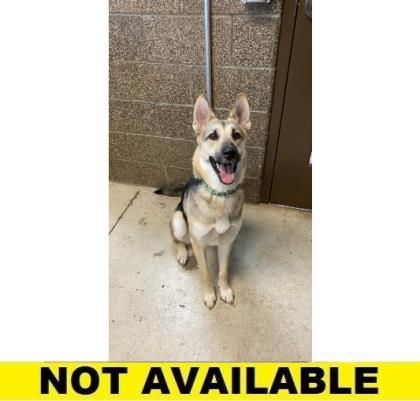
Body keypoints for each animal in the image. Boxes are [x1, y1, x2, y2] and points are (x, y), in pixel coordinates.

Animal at [158, 94, 251, 310]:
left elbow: (222, 271)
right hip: (178, 220)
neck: (220, 195)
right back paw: (182, 253)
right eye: (213, 136)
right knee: (178, 239)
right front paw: (210, 294)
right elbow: (206, 274)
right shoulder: (199, 246)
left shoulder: (227, 242)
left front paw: (224, 290)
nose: (229, 153)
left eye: (236, 135)